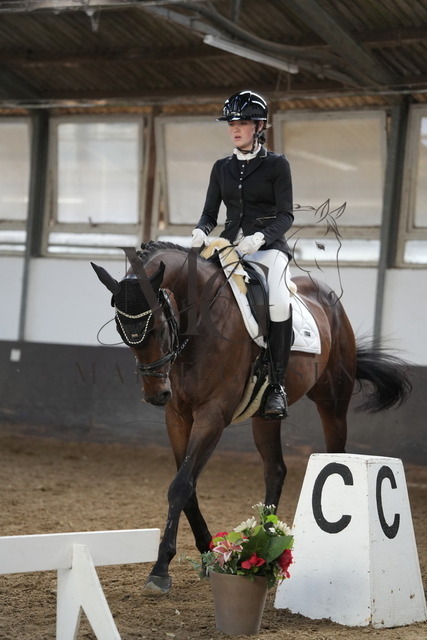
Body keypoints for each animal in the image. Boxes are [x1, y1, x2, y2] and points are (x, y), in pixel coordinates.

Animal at [92, 240, 411, 595]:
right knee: (275, 470)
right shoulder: (178, 416)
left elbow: (180, 486)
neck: (201, 322)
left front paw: (160, 569)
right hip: (264, 417)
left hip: (332, 400)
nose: (156, 394)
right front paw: (208, 552)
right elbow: (187, 487)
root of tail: (329, 298)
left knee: (336, 454)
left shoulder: (213, 414)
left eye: (160, 327)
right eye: (121, 330)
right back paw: (268, 542)